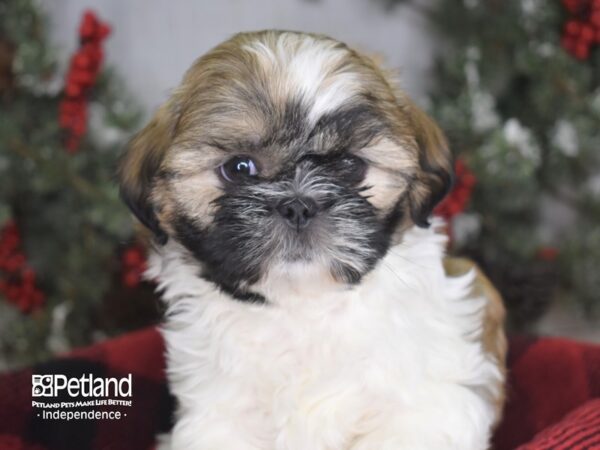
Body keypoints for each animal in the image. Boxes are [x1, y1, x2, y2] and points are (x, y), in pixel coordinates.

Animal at [117, 29, 506, 448]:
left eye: (350, 165)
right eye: (239, 168)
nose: (298, 206)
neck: (303, 305)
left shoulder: (427, 406)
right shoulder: (218, 416)